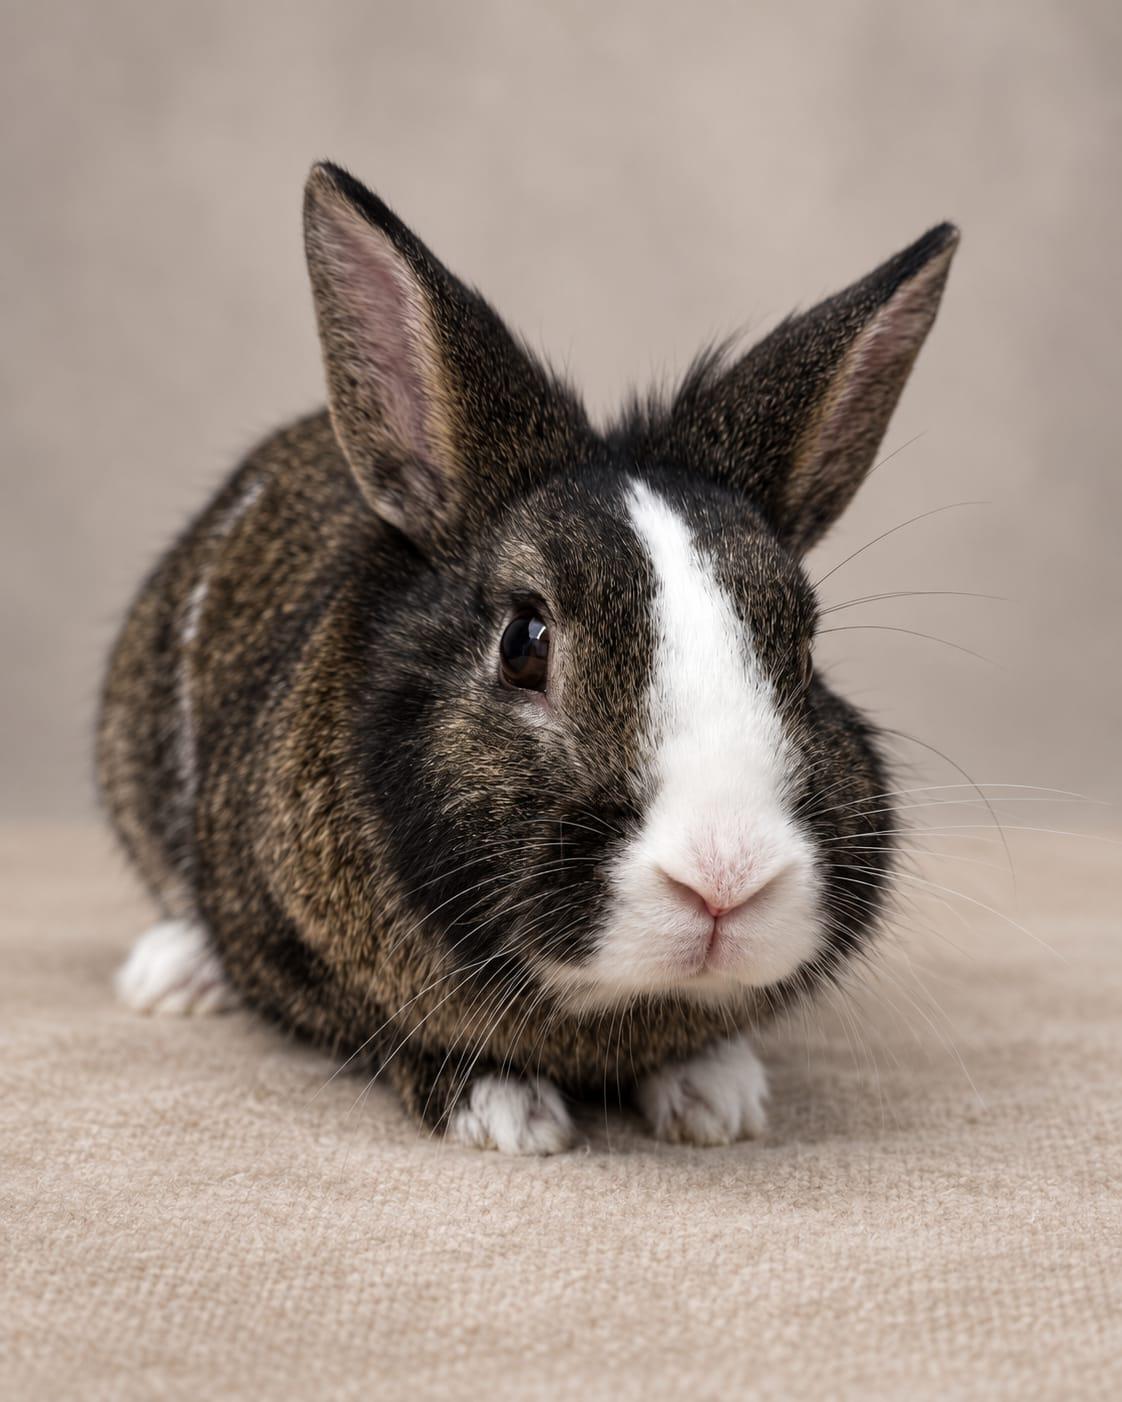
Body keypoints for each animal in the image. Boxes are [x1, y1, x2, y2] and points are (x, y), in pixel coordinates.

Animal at [98, 161, 958, 1154]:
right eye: (523, 644)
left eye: (805, 649)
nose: (725, 880)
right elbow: (385, 1031)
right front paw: (507, 1114)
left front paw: (719, 1101)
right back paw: (170, 975)